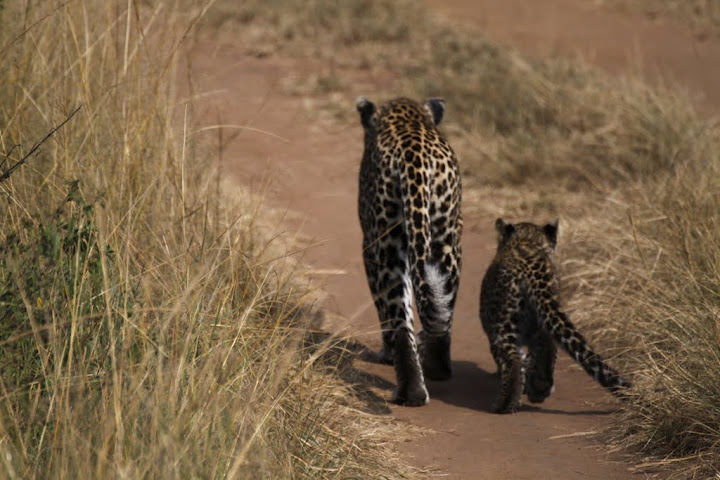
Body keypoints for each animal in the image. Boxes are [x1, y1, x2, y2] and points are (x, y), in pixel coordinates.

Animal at [356, 97, 462, 404]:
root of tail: (414, 157)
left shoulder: (369, 246)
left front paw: (385, 354)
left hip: (388, 245)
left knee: (400, 321)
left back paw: (410, 392)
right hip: (444, 240)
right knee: (442, 308)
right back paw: (437, 368)